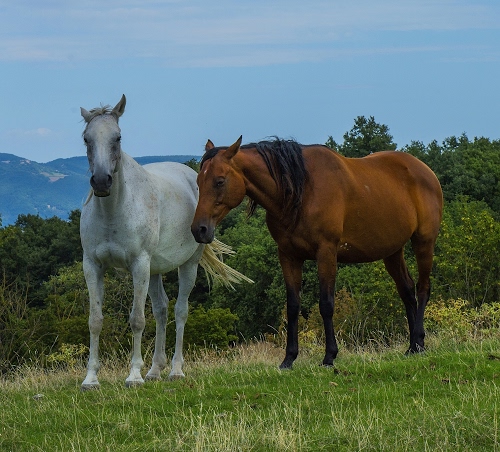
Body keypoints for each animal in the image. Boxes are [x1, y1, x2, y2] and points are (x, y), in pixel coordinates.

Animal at [79, 96, 251, 389]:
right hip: (154, 270)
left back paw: (174, 370)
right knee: (161, 310)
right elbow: (95, 320)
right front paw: (91, 378)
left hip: (187, 265)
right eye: (86, 138)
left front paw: (134, 376)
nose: (101, 181)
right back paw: (155, 370)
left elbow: (137, 320)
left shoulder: (139, 265)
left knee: (180, 310)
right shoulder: (93, 266)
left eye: (118, 137)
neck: (114, 211)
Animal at [191, 136, 443, 369]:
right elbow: (293, 306)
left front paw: (329, 356)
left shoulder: (326, 252)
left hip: (424, 242)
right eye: (198, 181)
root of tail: (425, 171)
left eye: (220, 181)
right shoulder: (289, 256)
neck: (300, 192)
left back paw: (418, 341)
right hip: (392, 251)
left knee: (422, 288)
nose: (199, 229)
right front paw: (289, 359)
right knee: (407, 290)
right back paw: (413, 346)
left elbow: (326, 304)